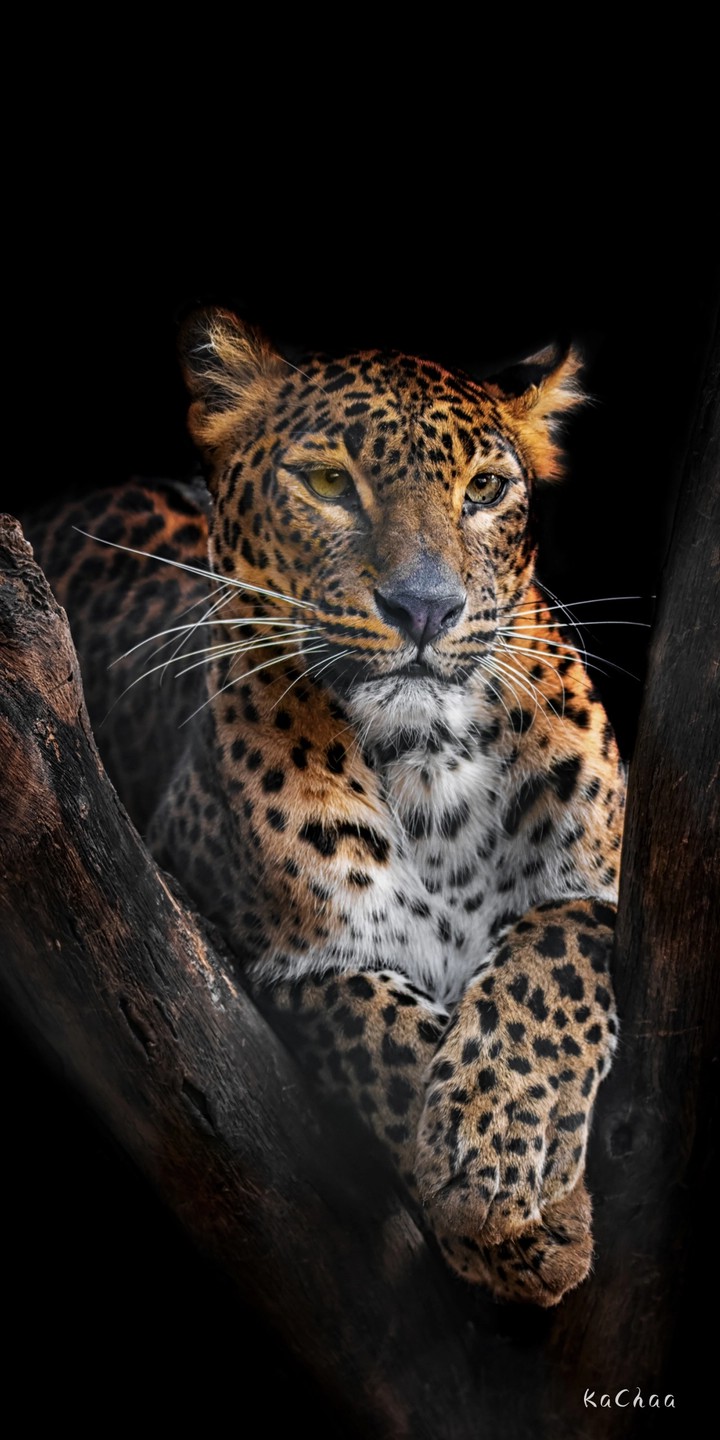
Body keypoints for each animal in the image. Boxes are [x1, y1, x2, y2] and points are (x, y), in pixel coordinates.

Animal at [27, 309, 624, 1307]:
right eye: (329, 483)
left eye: (486, 489)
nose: (425, 608)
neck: (432, 772)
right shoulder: (261, 956)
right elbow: (386, 1030)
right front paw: (530, 1216)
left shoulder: (605, 884)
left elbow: (556, 953)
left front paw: (511, 1158)